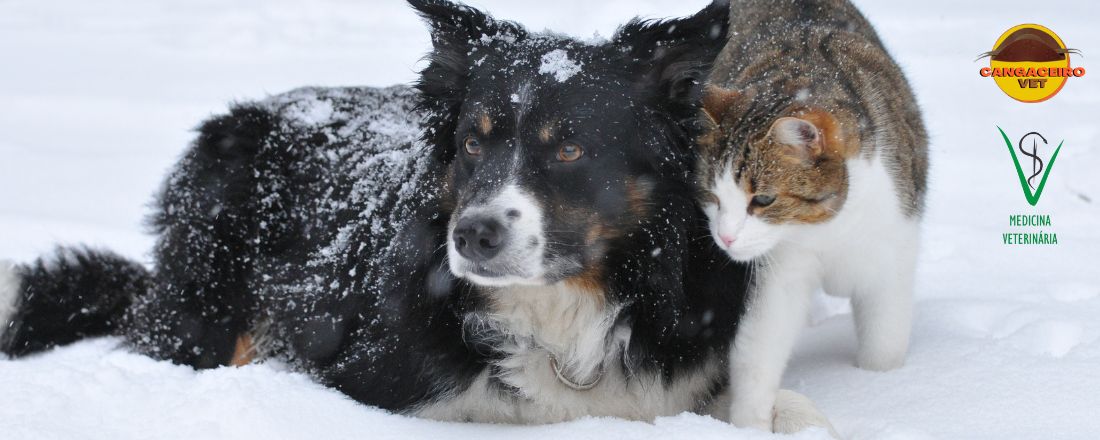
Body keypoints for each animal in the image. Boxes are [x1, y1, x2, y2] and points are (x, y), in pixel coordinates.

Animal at [695, 0, 928, 433]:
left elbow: (884, 340)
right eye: (713, 197)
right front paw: (750, 424)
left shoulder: (891, 248)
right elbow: (760, 344)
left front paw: (883, 387)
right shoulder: (780, 268)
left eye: (763, 199)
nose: (725, 238)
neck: (829, 228)